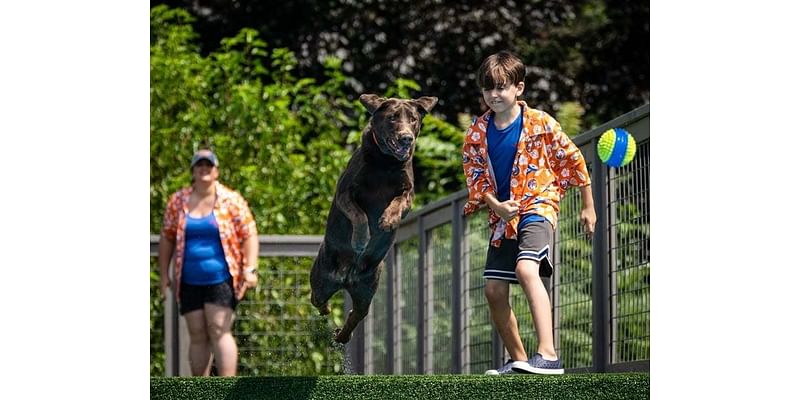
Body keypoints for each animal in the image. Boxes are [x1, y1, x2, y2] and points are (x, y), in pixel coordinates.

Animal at [310, 93, 438, 344]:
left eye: (413, 119)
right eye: (393, 118)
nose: (407, 138)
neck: (385, 162)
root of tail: (346, 277)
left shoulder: (408, 193)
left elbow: (397, 203)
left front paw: (387, 221)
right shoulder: (345, 193)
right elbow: (359, 215)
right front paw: (361, 240)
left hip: (367, 289)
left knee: (356, 314)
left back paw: (343, 335)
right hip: (321, 280)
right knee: (318, 300)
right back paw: (328, 311)